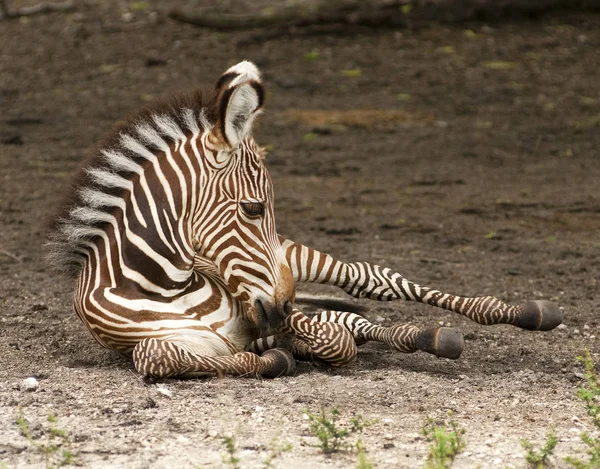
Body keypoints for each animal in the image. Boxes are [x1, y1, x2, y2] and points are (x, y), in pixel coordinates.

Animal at [47, 60, 564, 378]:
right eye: (253, 209)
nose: (279, 310)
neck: (161, 283)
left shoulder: (264, 304)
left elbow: (336, 335)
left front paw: (293, 347)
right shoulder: (208, 333)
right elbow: (158, 355)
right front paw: (275, 357)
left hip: (294, 257)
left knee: (370, 279)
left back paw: (522, 313)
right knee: (352, 315)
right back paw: (426, 335)